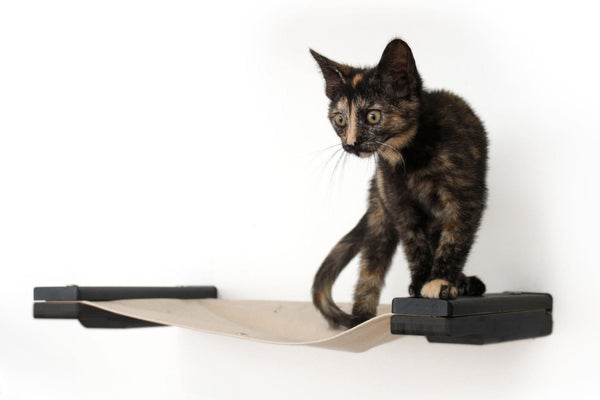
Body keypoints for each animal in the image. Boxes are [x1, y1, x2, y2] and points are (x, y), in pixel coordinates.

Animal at [310, 39, 488, 330]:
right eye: (340, 119)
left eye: (373, 116)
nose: (351, 144)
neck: (410, 156)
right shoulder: (398, 201)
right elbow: (414, 244)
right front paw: (421, 281)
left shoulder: (464, 199)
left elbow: (455, 240)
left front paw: (439, 281)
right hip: (380, 211)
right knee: (370, 268)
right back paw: (360, 319)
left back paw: (463, 282)